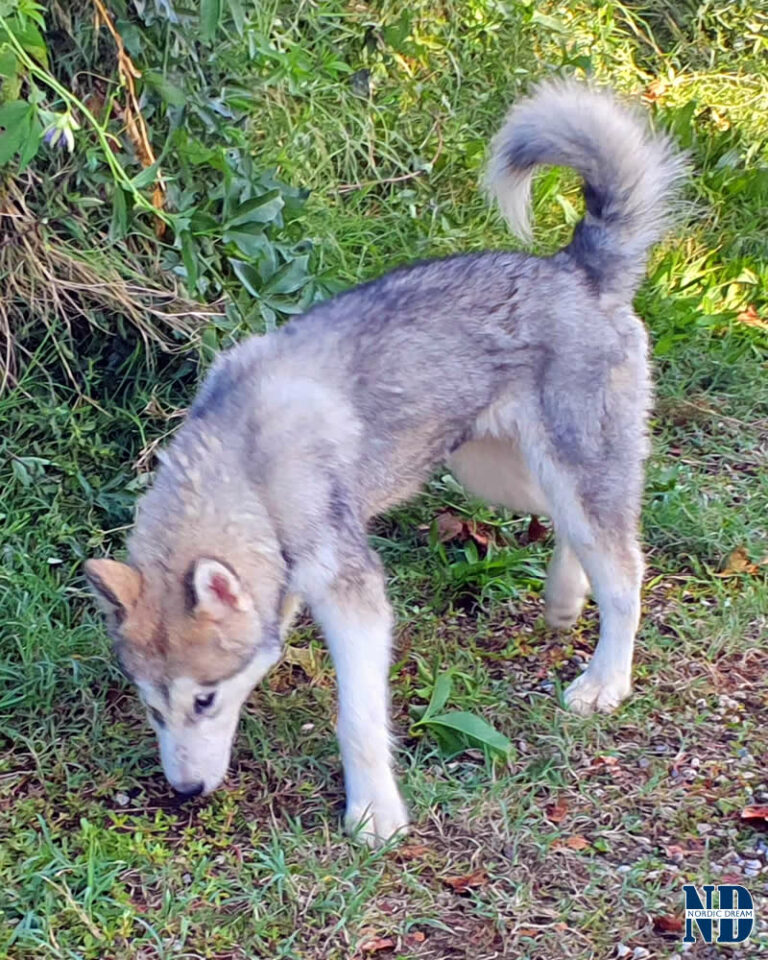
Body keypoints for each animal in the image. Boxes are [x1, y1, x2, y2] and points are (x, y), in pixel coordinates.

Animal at [85, 84, 684, 848]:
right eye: (154, 708)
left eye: (206, 700)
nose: (185, 792)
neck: (246, 464)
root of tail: (576, 269)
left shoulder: (356, 596)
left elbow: (359, 721)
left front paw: (373, 815)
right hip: (501, 477)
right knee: (583, 537)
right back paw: (563, 597)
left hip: (570, 467)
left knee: (626, 569)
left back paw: (606, 680)